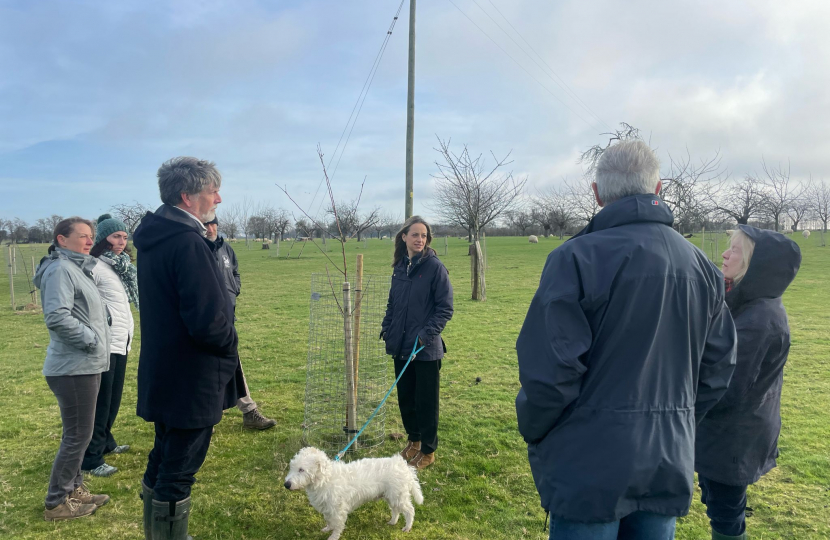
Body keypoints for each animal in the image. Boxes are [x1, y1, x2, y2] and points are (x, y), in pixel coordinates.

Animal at [288, 448, 428, 540]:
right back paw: (393, 522)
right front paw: (327, 529)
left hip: (398, 496)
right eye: (292, 467)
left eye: (301, 470)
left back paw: (407, 527)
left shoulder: (338, 509)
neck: (325, 479)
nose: (286, 484)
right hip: (391, 496)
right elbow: (329, 520)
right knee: (396, 510)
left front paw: (333, 536)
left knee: (410, 511)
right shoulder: (327, 508)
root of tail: (405, 467)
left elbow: (338, 525)